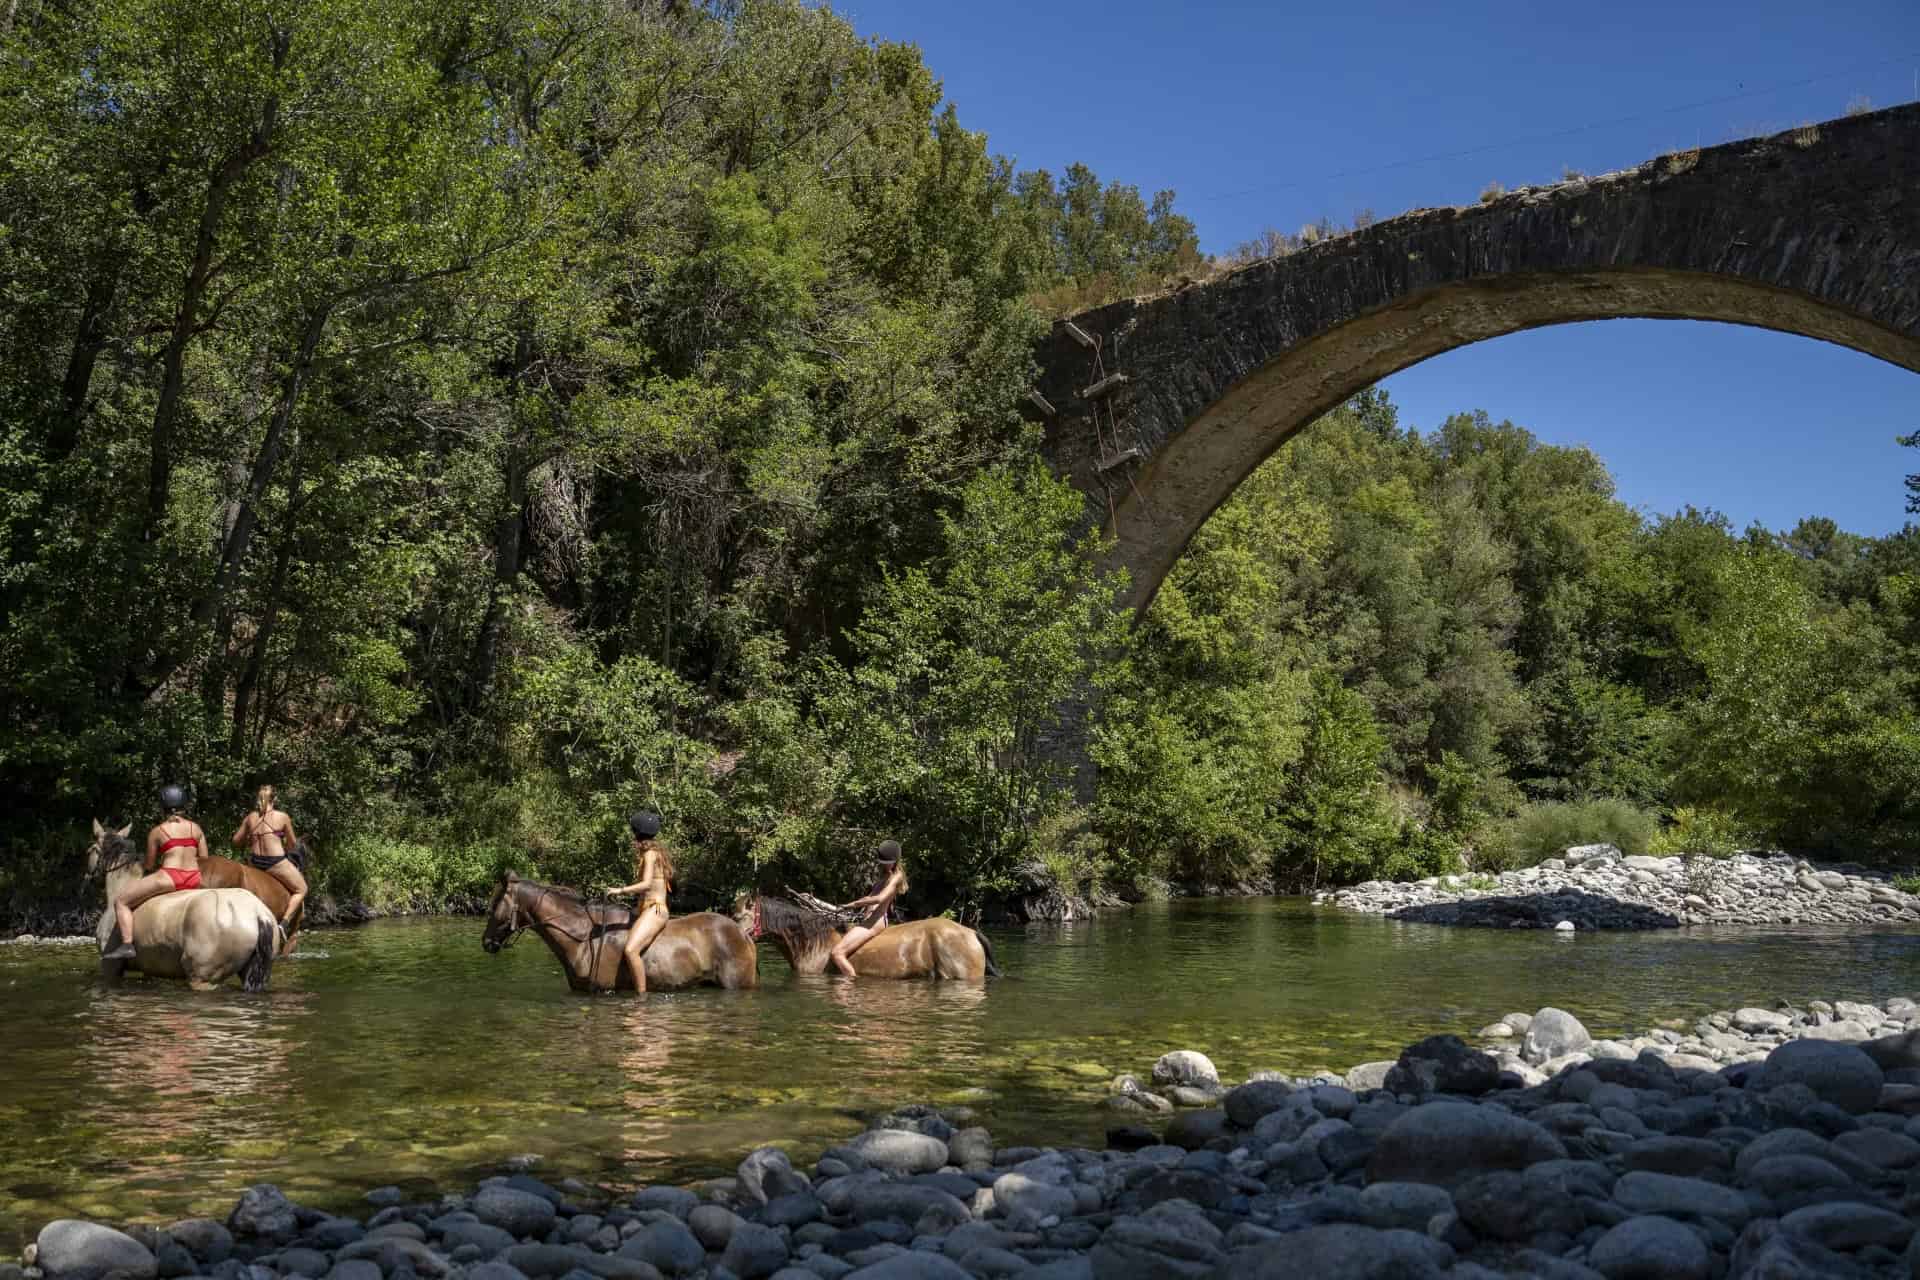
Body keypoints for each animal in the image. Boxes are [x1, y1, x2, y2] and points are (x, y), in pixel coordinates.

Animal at [85, 821, 279, 992]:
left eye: (91, 850)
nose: (88, 878)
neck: (120, 888)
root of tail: (258, 914)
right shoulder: (151, 968)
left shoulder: (110, 966)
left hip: (201, 977)